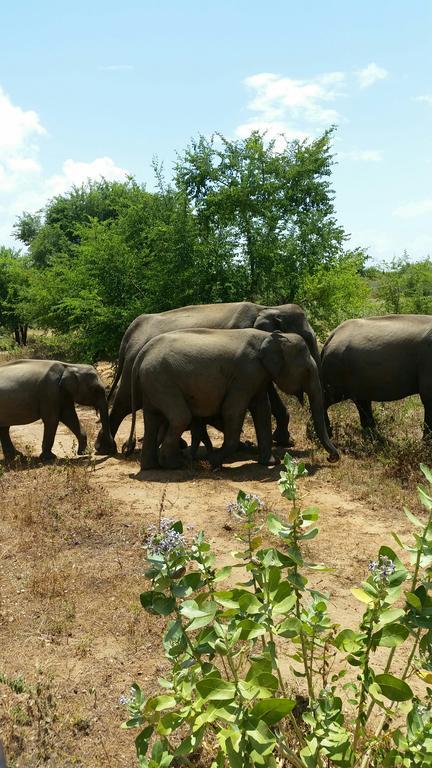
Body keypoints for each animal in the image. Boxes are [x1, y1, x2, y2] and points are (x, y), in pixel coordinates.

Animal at [98, 298, 320, 450]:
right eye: (308, 339)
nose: (311, 436)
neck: (267, 307)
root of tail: (131, 332)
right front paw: (282, 441)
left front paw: (285, 441)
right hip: (134, 369)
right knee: (124, 402)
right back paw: (105, 448)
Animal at [123, 324, 340, 468]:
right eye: (307, 371)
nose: (331, 458)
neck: (271, 336)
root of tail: (142, 353)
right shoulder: (246, 372)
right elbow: (233, 411)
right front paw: (214, 462)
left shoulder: (258, 375)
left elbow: (262, 410)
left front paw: (268, 462)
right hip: (161, 380)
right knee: (179, 417)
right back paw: (174, 465)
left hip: (152, 382)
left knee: (153, 419)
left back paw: (151, 466)